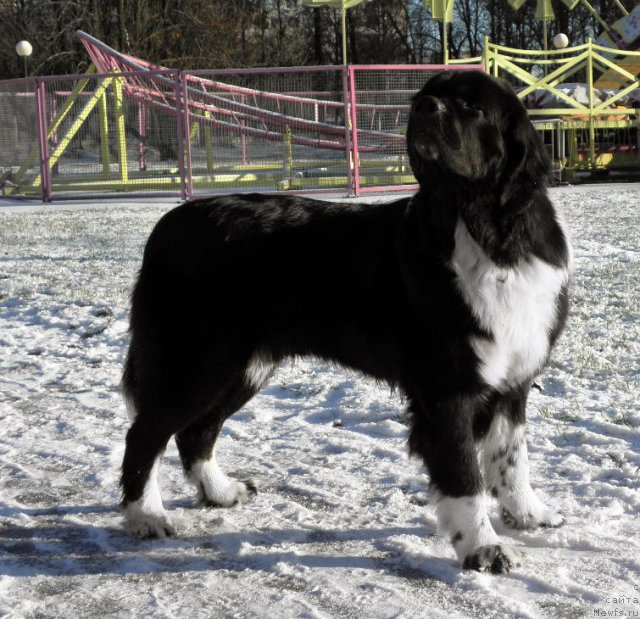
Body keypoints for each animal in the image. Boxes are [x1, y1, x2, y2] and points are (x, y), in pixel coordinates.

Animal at [120, 70, 568, 572]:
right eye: (425, 96)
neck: (482, 228)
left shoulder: (514, 377)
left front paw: (527, 514)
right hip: (197, 362)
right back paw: (146, 516)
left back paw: (220, 491)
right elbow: (463, 475)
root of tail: (165, 227)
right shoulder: (447, 387)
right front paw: (483, 547)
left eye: (472, 106)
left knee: (196, 430)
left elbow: (512, 456)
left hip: (243, 366)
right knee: (146, 433)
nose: (422, 108)